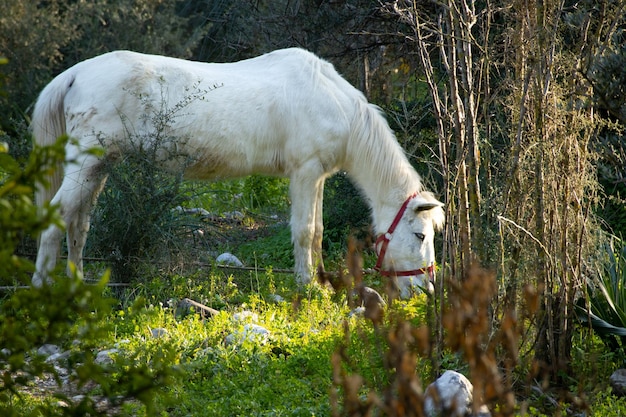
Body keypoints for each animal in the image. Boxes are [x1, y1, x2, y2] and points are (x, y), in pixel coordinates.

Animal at [31, 48, 444, 296]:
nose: (426, 290)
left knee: (79, 223)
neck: (335, 103)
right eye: (421, 236)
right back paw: (40, 285)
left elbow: (317, 230)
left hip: (98, 165)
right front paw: (307, 286)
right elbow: (304, 230)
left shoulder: (317, 178)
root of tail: (75, 74)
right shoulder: (305, 173)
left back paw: (77, 284)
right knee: (56, 218)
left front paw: (320, 281)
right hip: (86, 164)